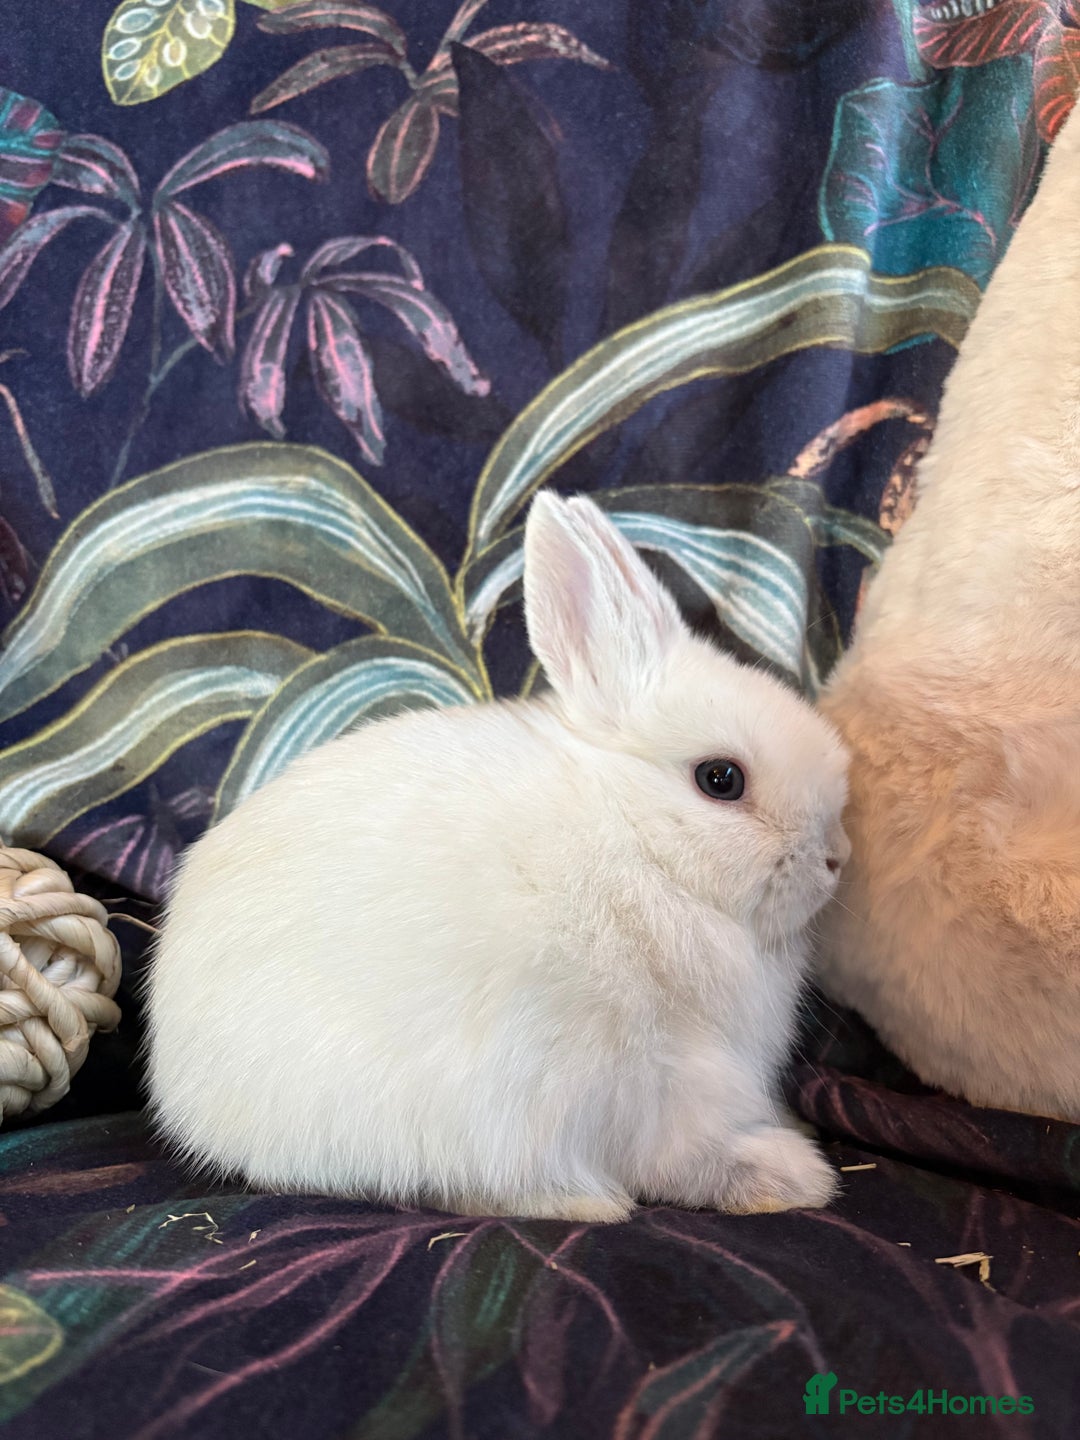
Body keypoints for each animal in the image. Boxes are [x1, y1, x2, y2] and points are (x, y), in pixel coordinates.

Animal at [146, 491, 850, 1222]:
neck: (641, 842)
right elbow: (686, 1152)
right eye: (721, 779)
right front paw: (794, 1177)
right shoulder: (671, 1071)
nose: (836, 858)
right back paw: (586, 1203)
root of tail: (185, 1092)